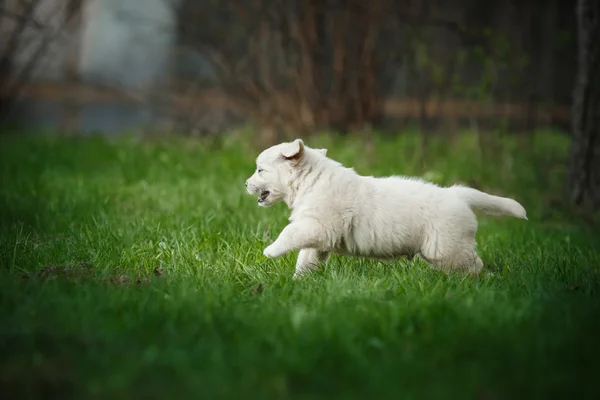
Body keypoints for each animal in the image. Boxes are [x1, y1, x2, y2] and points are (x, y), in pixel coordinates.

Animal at [246, 138, 528, 278]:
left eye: (260, 170)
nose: (246, 184)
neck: (310, 181)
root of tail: (457, 194)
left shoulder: (318, 225)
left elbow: (289, 233)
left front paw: (270, 250)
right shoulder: (319, 235)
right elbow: (306, 258)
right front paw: (299, 282)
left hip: (448, 248)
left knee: (475, 266)